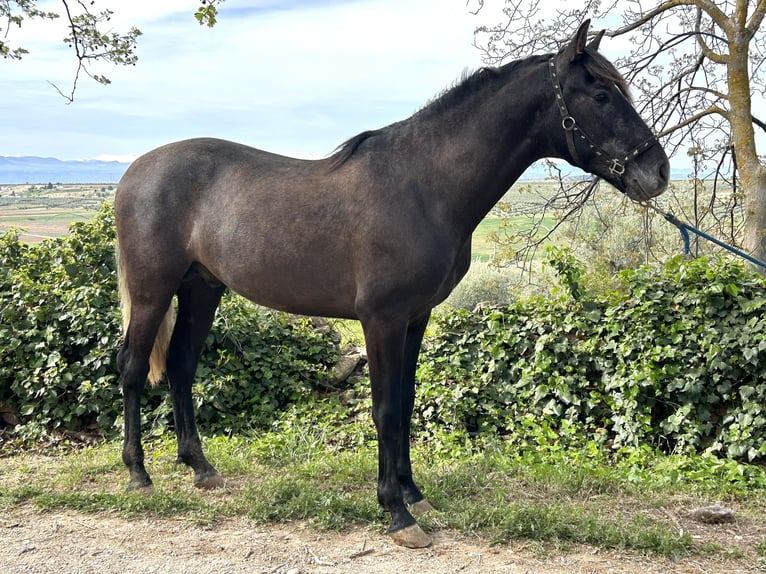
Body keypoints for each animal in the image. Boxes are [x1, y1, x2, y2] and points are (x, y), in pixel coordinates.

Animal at [115, 20, 672, 552]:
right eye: (599, 95)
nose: (659, 171)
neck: (424, 186)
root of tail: (133, 173)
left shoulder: (415, 317)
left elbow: (404, 403)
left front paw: (414, 495)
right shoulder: (380, 319)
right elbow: (384, 409)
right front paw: (396, 513)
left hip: (202, 289)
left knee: (181, 366)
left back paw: (200, 467)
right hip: (152, 292)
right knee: (134, 368)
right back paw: (139, 474)